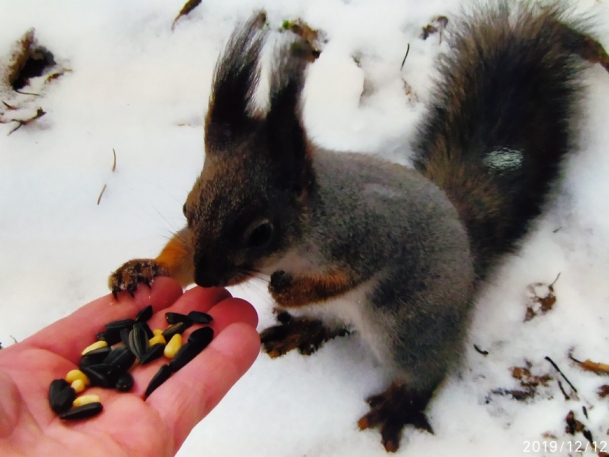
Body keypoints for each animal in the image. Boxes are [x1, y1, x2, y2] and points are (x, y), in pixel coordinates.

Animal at [107, 2, 608, 452]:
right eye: (188, 209)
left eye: (261, 232)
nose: (209, 278)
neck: (306, 230)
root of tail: (467, 248)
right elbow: (180, 253)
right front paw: (145, 269)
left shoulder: (366, 235)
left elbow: (346, 275)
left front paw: (288, 290)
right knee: (332, 323)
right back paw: (300, 330)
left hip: (407, 322)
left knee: (428, 365)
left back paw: (399, 405)